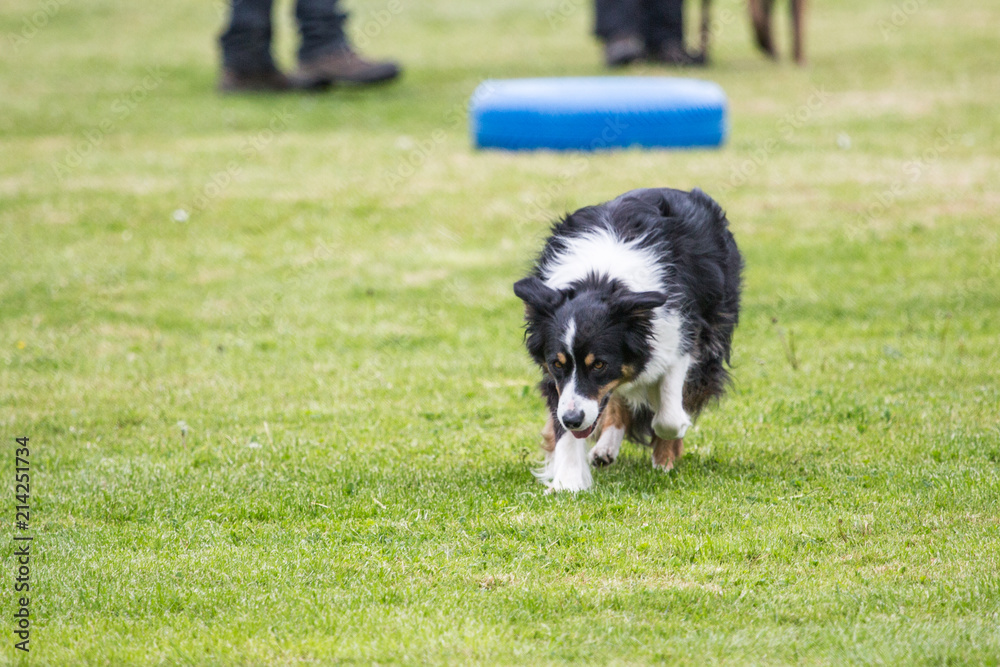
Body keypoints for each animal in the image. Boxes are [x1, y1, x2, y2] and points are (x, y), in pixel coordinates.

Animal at [516, 188, 744, 490]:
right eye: (557, 363)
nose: (573, 420)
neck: (600, 277)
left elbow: (668, 414)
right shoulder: (556, 376)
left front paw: (669, 443)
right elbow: (564, 425)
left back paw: (663, 458)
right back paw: (606, 447)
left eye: (599, 365)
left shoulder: (680, 336)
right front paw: (568, 482)